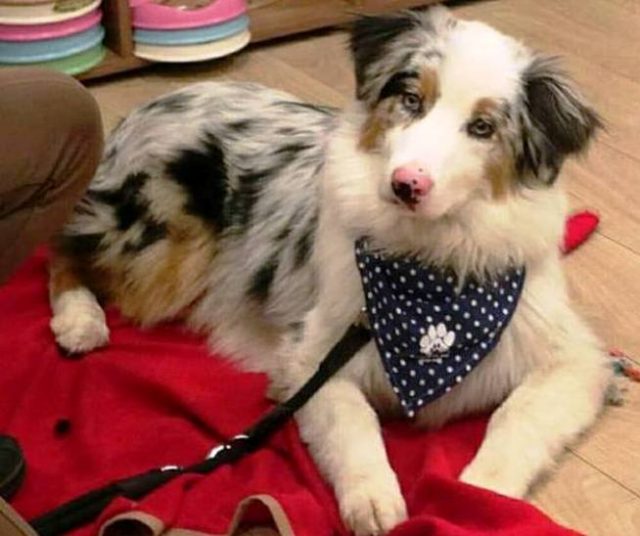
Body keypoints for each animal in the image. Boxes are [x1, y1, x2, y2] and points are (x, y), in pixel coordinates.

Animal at [49, 6, 612, 535]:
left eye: (482, 128)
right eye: (412, 100)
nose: (407, 183)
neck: (429, 262)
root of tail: (157, 102)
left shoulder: (574, 358)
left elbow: (518, 416)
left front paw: (478, 494)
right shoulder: (314, 352)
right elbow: (351, 419)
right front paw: (372, 497)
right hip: (161, 243)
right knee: (62, 247)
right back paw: (79, 321)